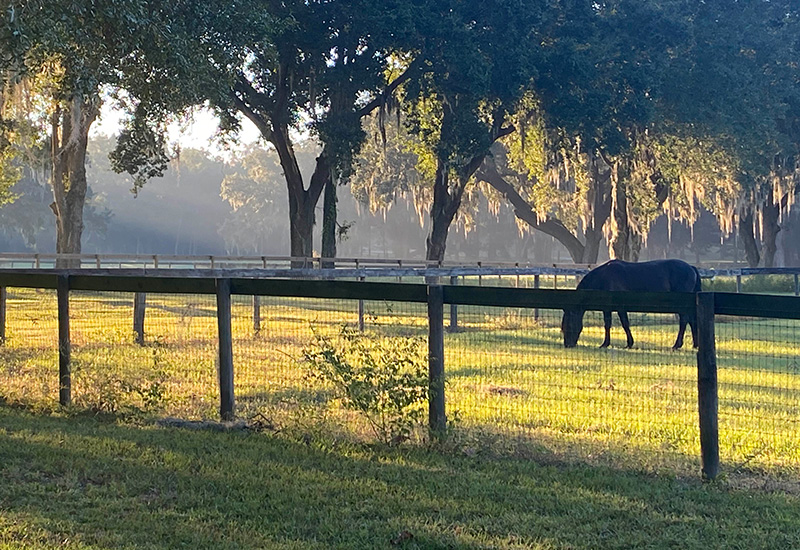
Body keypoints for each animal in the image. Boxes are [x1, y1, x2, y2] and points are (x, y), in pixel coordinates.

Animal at [561, 259, 701, 350]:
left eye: (569, 325)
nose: (568, 344)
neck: (603, 277)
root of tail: (691, 268)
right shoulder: (611, 308)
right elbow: (614, 324)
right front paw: (614, 343)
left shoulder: (617, 307)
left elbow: (620, 324)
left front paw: (624, 343)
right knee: (692, 321)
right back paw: (695, 344)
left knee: (684, 321)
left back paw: (677, 345)